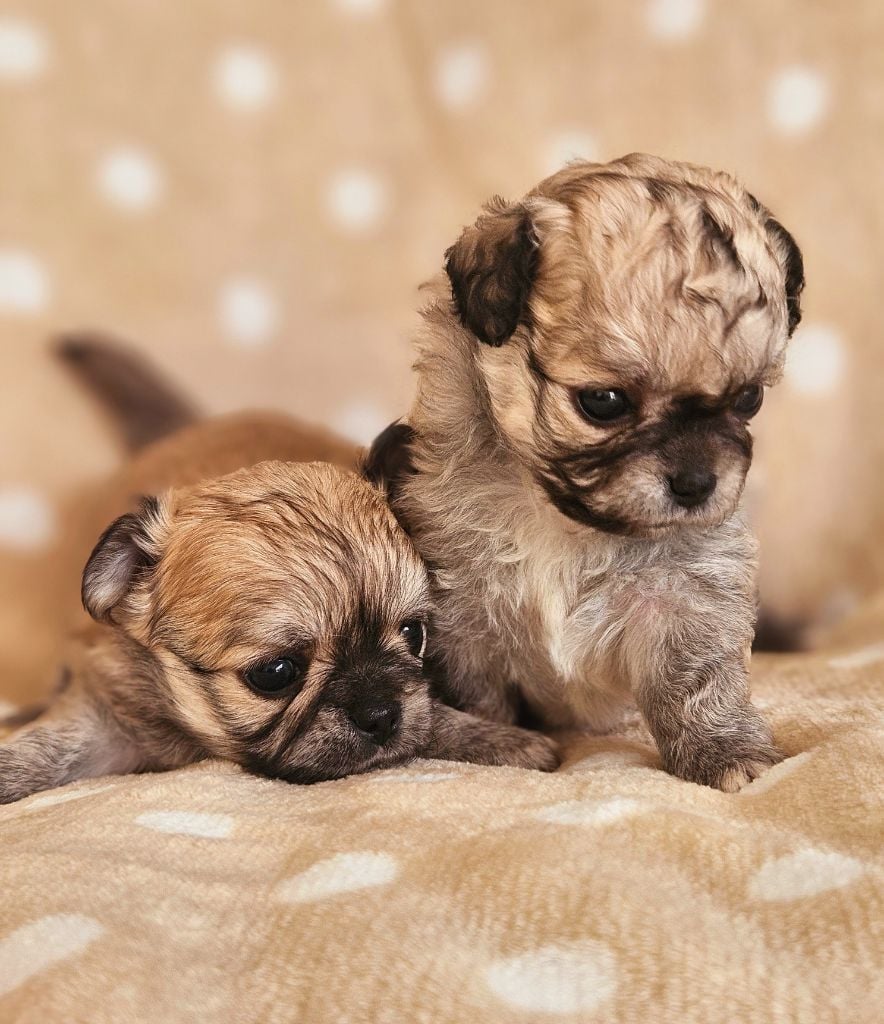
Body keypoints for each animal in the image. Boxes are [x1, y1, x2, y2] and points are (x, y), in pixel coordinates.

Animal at [0, 460, 561, 802]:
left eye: (414, 634)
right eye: (275, 673)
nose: (381, 714)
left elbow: (432, 716)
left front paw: (502, 741)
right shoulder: (112, 717)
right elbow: (46, 748)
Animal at [368, 151, 807, 790]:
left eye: (749, 398)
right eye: (603, 402)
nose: (697, 484)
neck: (568, 524)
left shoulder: (685, 596)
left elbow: (698, 682)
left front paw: (724, 751)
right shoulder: (467, 615)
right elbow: (480, 695)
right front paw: (493, 745)